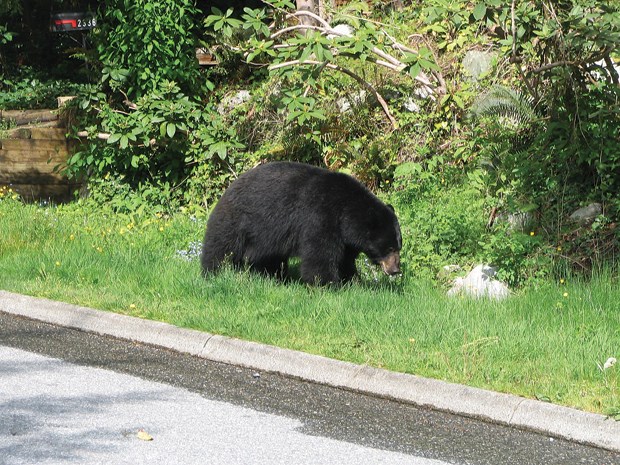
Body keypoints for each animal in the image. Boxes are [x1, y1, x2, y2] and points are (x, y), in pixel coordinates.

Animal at [200, 161, 402, 284]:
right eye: (390, 248)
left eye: (398, 247)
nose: (396, 270)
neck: (346, 212)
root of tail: (229, 188)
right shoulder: (320, 216)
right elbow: (320, 254)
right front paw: (327, 284)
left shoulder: (344, 237)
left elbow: (344, 259)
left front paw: (352, 281)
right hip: (238, 220)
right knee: (221, 247)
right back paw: (212, 273)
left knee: (268, 257)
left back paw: (273, 277)